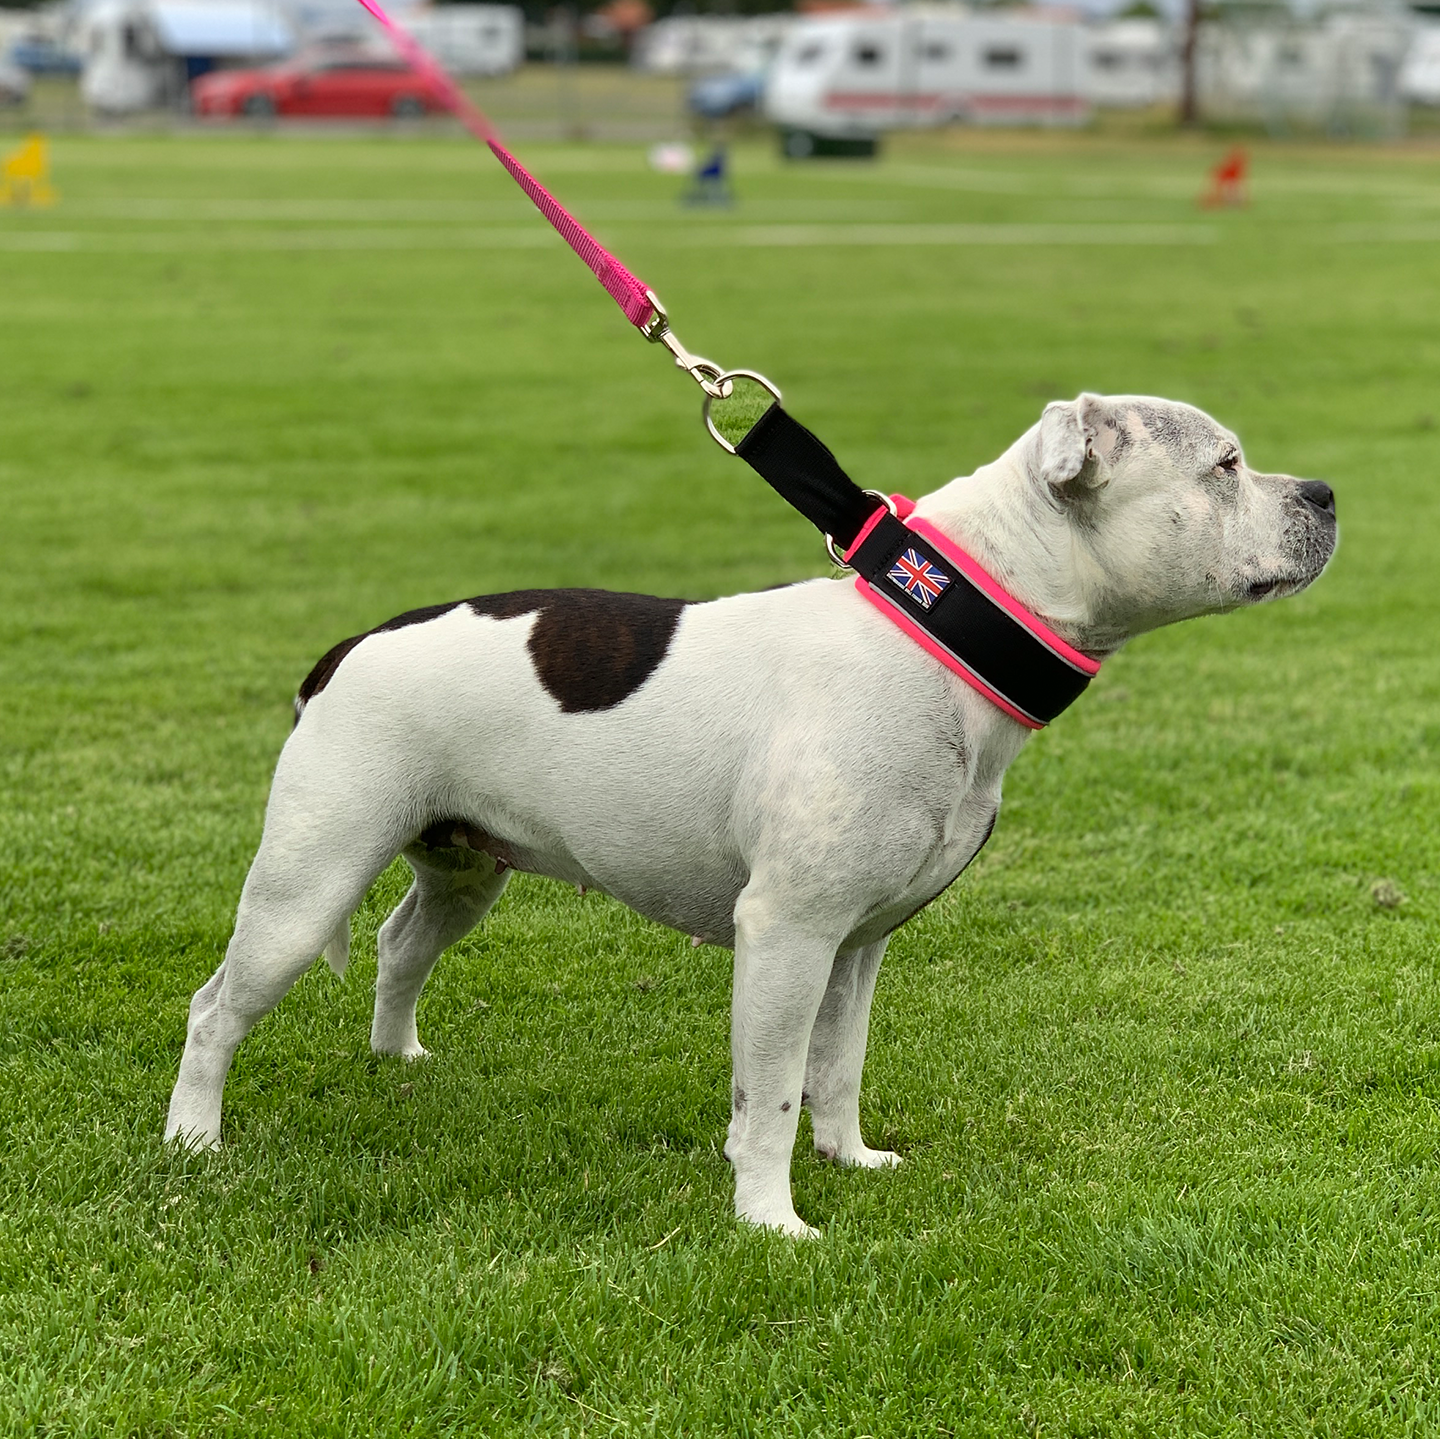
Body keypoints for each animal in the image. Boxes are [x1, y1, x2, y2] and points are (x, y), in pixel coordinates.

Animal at [165, 394, 1336, 1238]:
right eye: (1225, 465)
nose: (1324, 490)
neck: (942, 630)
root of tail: (347, 646)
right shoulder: (788, 934)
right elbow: (769, 1091)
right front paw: (772, 1220)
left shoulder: (857, 943)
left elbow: (838, 1066)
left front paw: (850, 1157)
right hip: (308, 879)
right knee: (216, 1006)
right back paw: (193, 1142)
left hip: (463, 866)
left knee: (404, 943)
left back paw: (396, 1057)